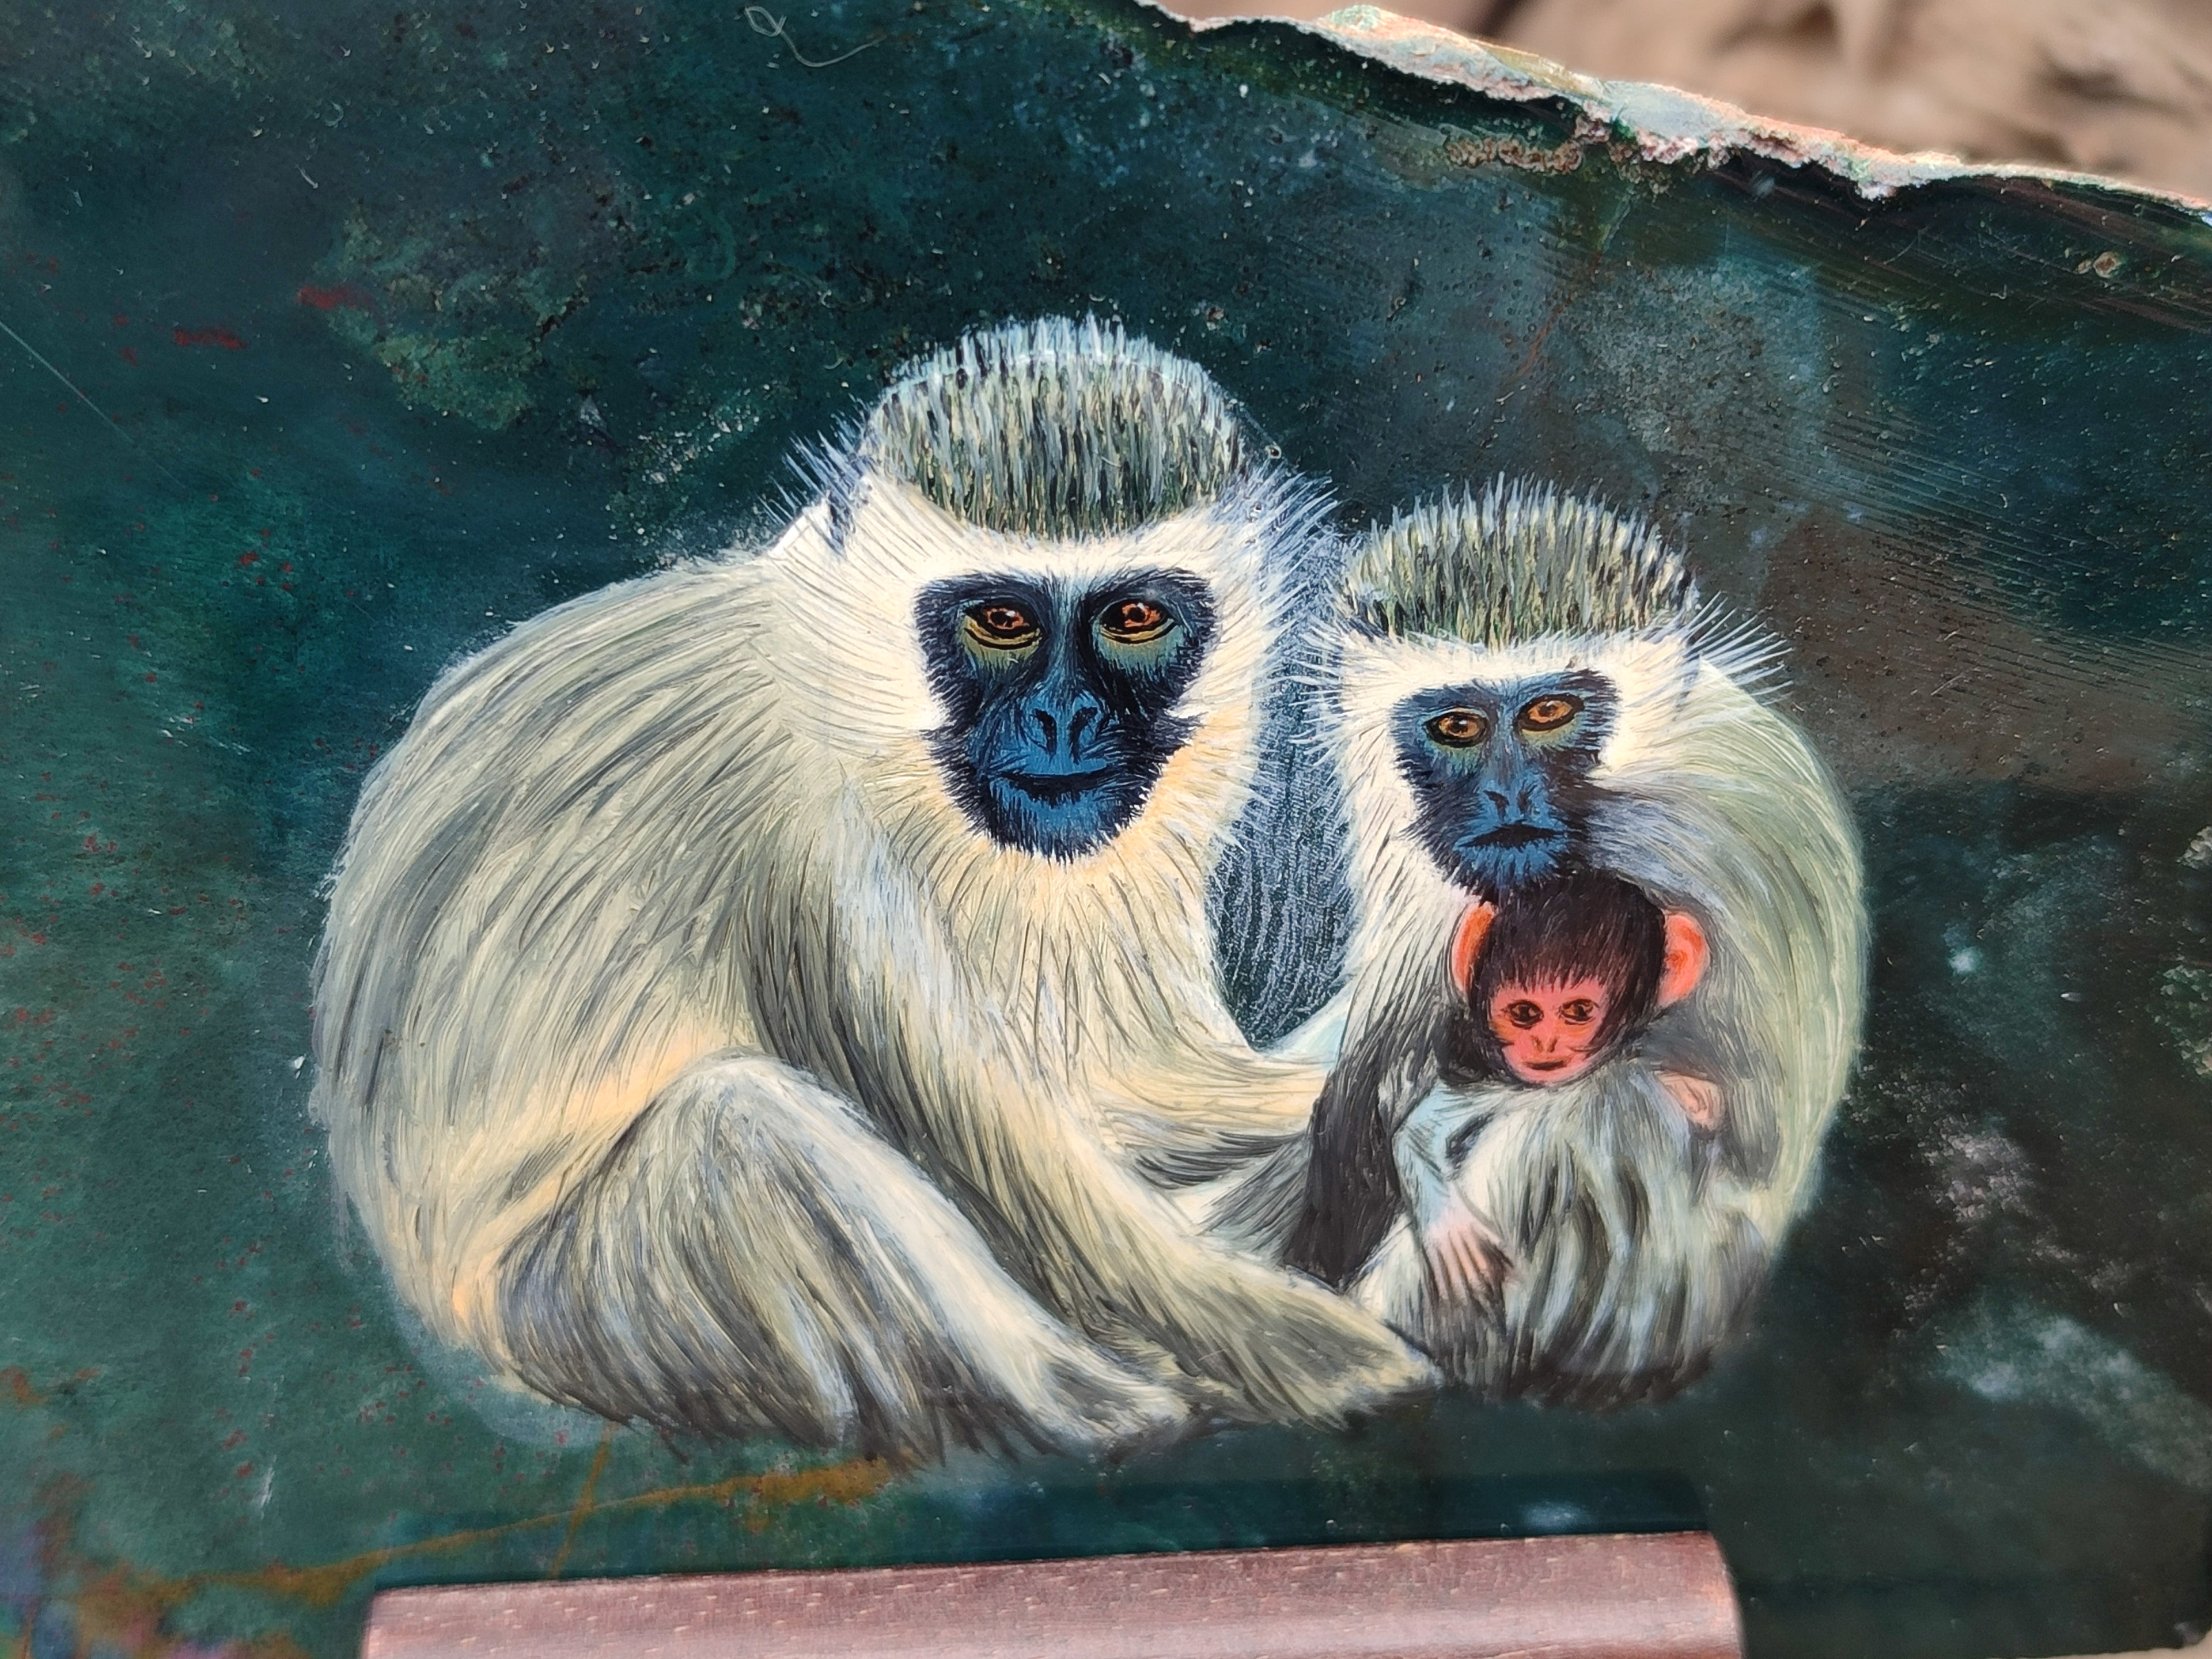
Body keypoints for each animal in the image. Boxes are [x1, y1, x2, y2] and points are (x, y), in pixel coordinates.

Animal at [309, 317, 1431, 1464]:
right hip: (591, 1316)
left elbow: (1120, 1083)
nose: (1065, 721)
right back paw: (1107, 1407)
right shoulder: (797, 827)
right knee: (742, 1130)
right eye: (1000, 622)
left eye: (1132, 617)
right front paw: (1328, 1356)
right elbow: (1017, 1166)